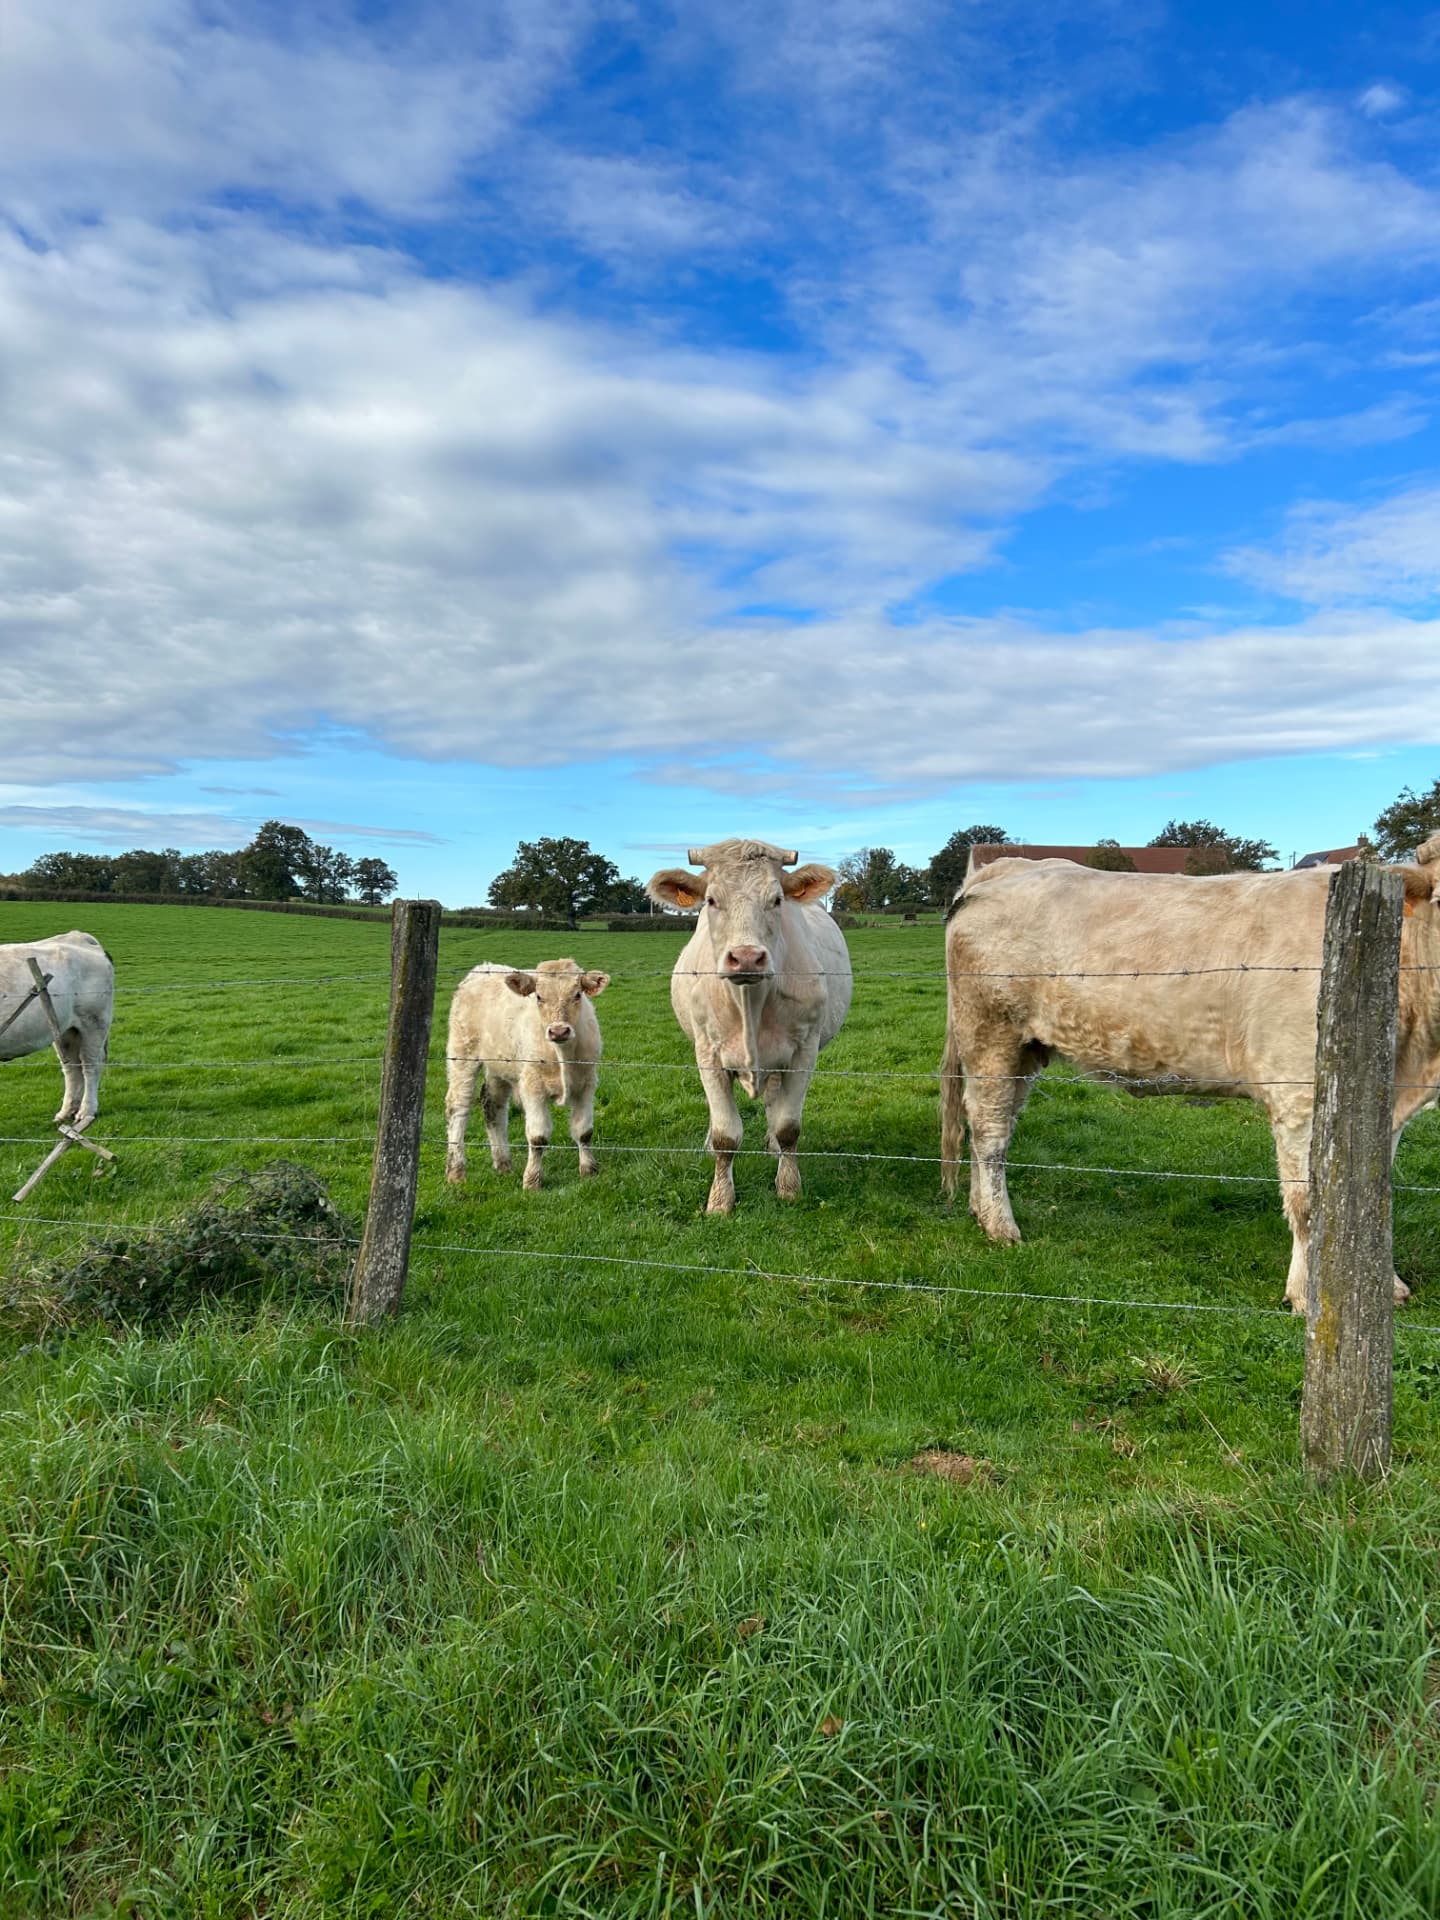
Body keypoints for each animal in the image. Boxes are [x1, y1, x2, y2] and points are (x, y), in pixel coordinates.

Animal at [0, 931, 114, 1130]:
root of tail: (77, 936)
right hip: (66, 1029)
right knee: (71, 1068)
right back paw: (66, 1112)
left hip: (94, 1022)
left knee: (91, 1065)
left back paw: (86, 1112)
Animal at [444, 959, 609, 1190]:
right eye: (538, 996)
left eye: (577, 994)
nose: (559, 1031)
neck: (562, 1053)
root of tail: (482, 968)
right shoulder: (532, 1086)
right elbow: (538, 1137)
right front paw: (532, 1181)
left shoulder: (587, 1083)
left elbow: (584, 1131)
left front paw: (589, 1171)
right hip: (462, 1054)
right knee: (458, 1107)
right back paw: (456, 1171)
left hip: (499, 1066)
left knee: (492, 1104)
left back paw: (503, 1164)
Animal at [647, 839, 852, 1212]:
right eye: (711, 900)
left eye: (778, 900)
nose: (745, 957)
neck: (750, 1004)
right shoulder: (708, 1053)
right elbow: (726, 1134)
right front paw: (720, 1200)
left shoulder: (804, 1051)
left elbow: (788, 1126)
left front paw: (789, 1186)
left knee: (774, 1101)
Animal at [939, 838, 1440, 1310]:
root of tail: (1007, 868)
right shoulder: (1298, 1093)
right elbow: (1310, 1202)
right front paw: (1308, 1295)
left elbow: (1372, 1195)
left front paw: (1383, 1286)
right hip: (991, 1033)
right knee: (989, 1131)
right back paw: (1000, 1225)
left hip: (1025, 1049)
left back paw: (978, 1211)